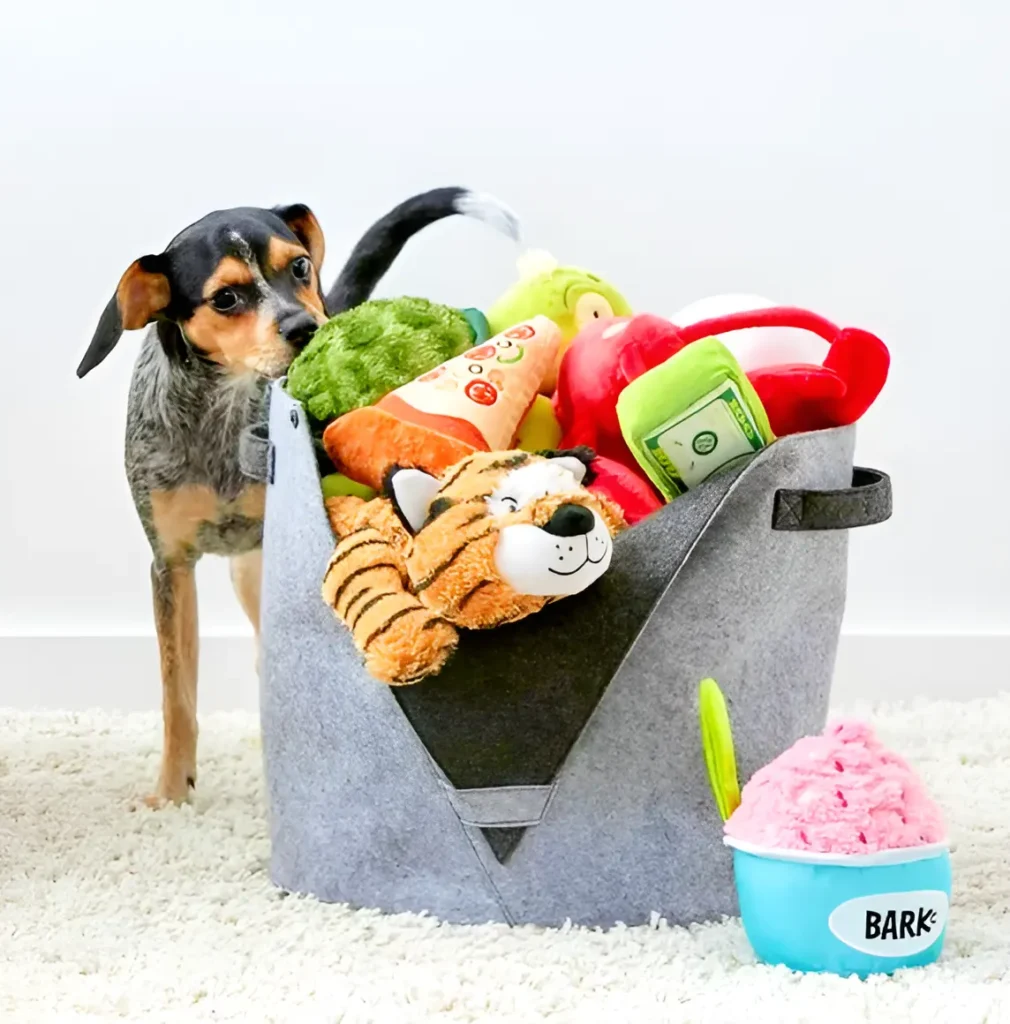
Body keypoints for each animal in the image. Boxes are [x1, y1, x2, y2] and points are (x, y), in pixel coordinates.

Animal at [76, 188, 520, 802]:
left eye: (300, 267)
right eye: (226, 297)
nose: (305, 326)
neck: (226, 414)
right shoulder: (170, 567)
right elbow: (177, 696)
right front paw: (171, 793)